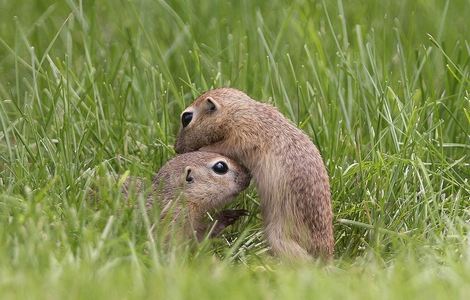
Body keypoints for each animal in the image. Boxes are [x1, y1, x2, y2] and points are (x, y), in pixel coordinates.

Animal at [175, 87, 334, 260]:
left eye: (186, 118)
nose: (177, 149)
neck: (242, 110)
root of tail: (325, 252)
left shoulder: (242, 136)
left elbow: (222, 147)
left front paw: (201, 150)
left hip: (278, 237)